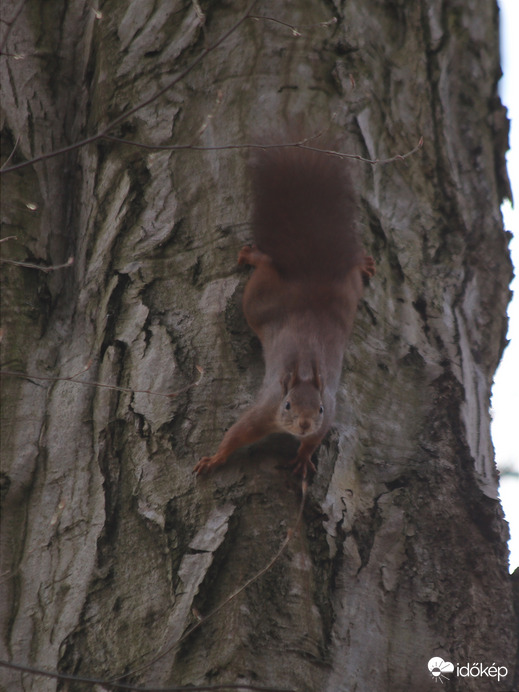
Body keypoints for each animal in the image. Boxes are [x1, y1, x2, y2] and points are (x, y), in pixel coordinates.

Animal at [194, 148, 374, 478]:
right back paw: (254, 255)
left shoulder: (326, 417)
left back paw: (363, 262)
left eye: (318, 409)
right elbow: (236, 433)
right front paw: (214, 459)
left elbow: (314, 439)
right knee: (266, 266)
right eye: (287, 405)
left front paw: (303, 457)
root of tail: (309, 280)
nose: (303, 423)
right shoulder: (265, 410)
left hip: (346, 291)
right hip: (257, 298)